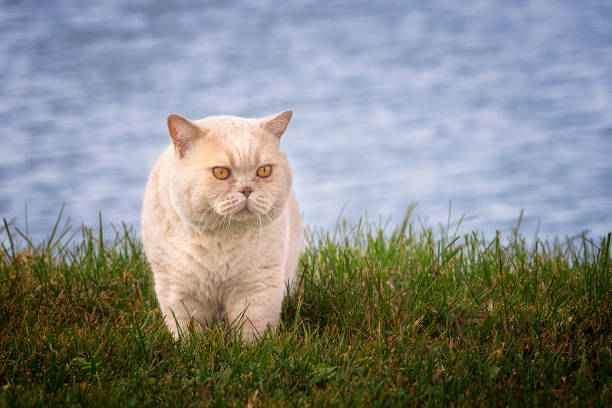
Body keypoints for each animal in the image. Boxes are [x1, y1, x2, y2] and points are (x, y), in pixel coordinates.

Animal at [139, 110, 302, 340]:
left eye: (263, 171)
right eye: (221, 173)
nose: (246, 190)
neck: (220, 237)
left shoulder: (257, 289)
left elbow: (253, 334)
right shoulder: (178, 291)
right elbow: (188, 335)